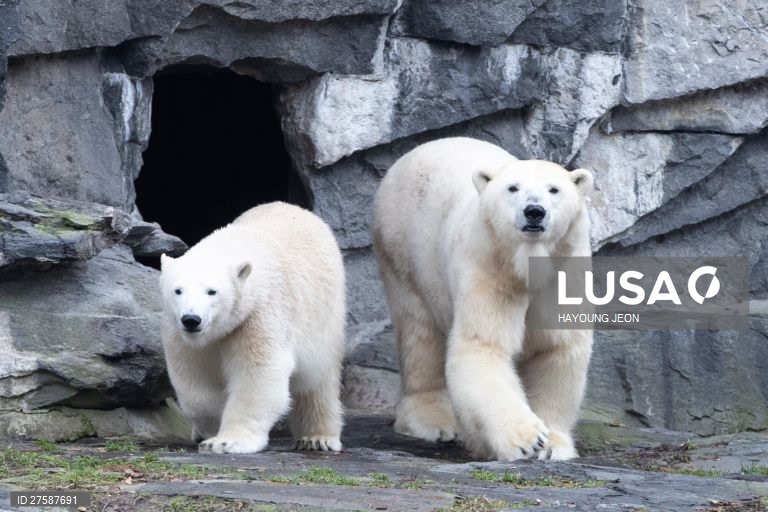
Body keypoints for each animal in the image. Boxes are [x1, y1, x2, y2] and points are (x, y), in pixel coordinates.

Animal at [160, 202, 346, 454]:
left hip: (323, 317)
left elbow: (258, 373)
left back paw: (317, 438)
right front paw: (209, 430)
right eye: (178, 290)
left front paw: (226, 441)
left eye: (212, 291)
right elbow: (194, 380)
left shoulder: (258, 315)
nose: (191, 319)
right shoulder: (181, 335)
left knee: (317, 380)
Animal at [372, 137, 594, 461]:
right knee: (419, 332)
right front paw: (527, 438)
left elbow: (556, 348)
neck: (526, 265)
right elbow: (483, 346)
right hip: (403, 251)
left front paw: (553, 444)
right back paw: (432, 421)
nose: (534, 211)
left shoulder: (563, 274)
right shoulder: (489, 268)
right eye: (513, 188)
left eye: (554, 189)